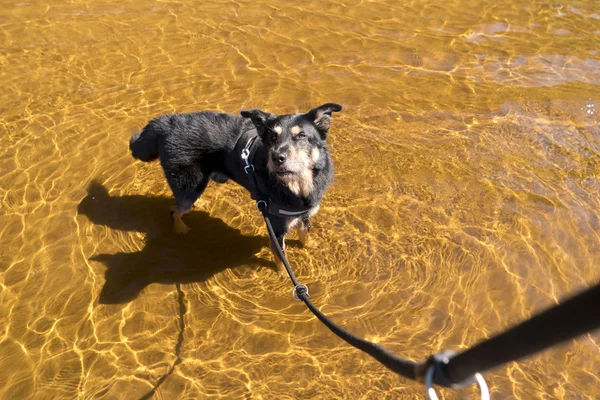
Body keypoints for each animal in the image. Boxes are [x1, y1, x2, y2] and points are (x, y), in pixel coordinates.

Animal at [129, 103, 342, 270]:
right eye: (272, 137)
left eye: (302, 136)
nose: (277, 158)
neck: (297, 184)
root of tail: (165, 122)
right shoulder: (276, 226)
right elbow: (281, 259)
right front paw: (283, 278)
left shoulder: (304, 214)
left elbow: (305, 233)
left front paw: (310, 244)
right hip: (188, 185)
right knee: (174, 209)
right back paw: (180, 227)